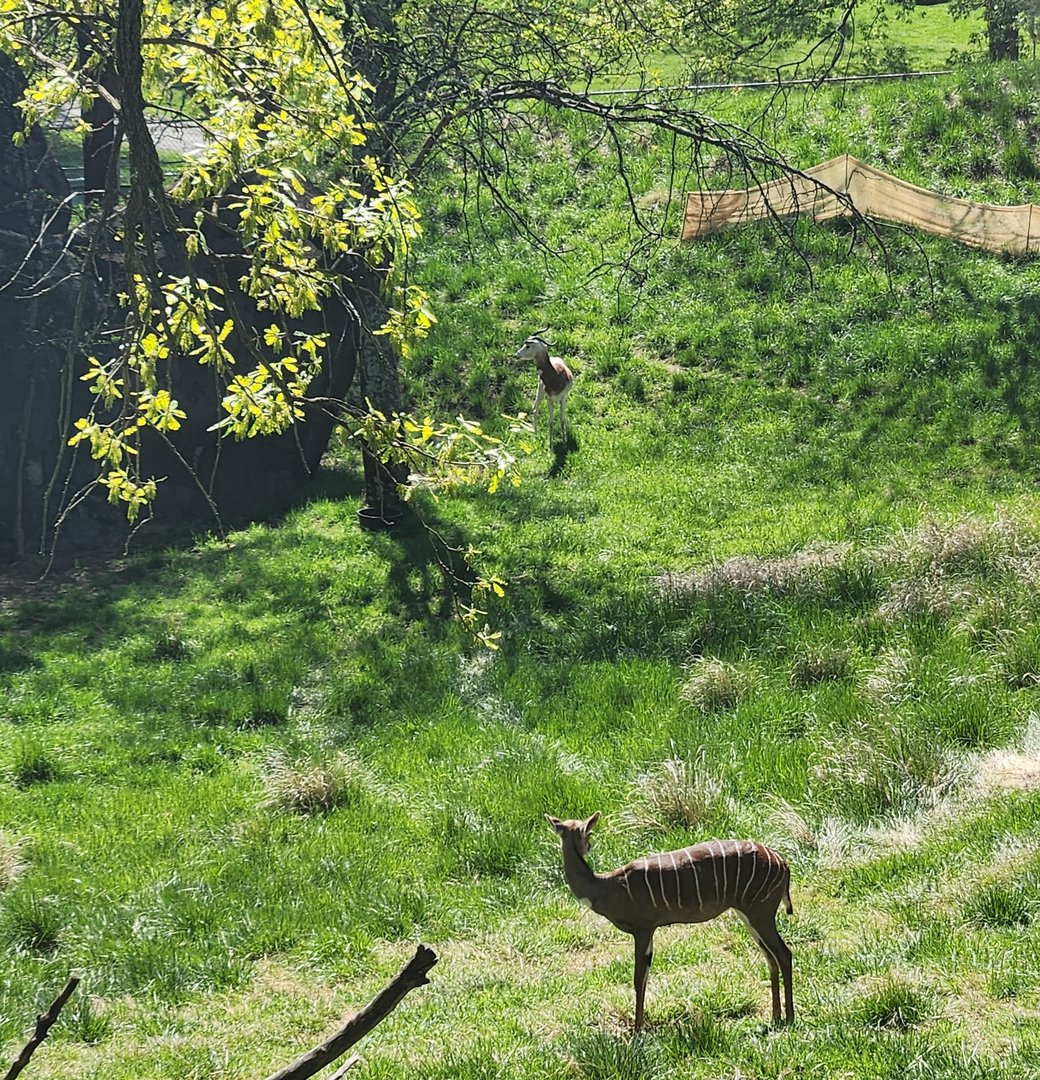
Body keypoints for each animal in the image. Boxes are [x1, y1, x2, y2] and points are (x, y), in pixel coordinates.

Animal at [546, 812, 794, 1031]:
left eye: (589, 833)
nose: (589, 846)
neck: (607, 887)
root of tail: (784, 864)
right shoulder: (648, 931)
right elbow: (645, 977)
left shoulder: (643, 928)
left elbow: (638, 979)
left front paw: (637, 1032)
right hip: (748, 915)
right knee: (770, 957)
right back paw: (775, 1016)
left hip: (761, 912)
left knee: (784, 953)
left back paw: (789, 1018)